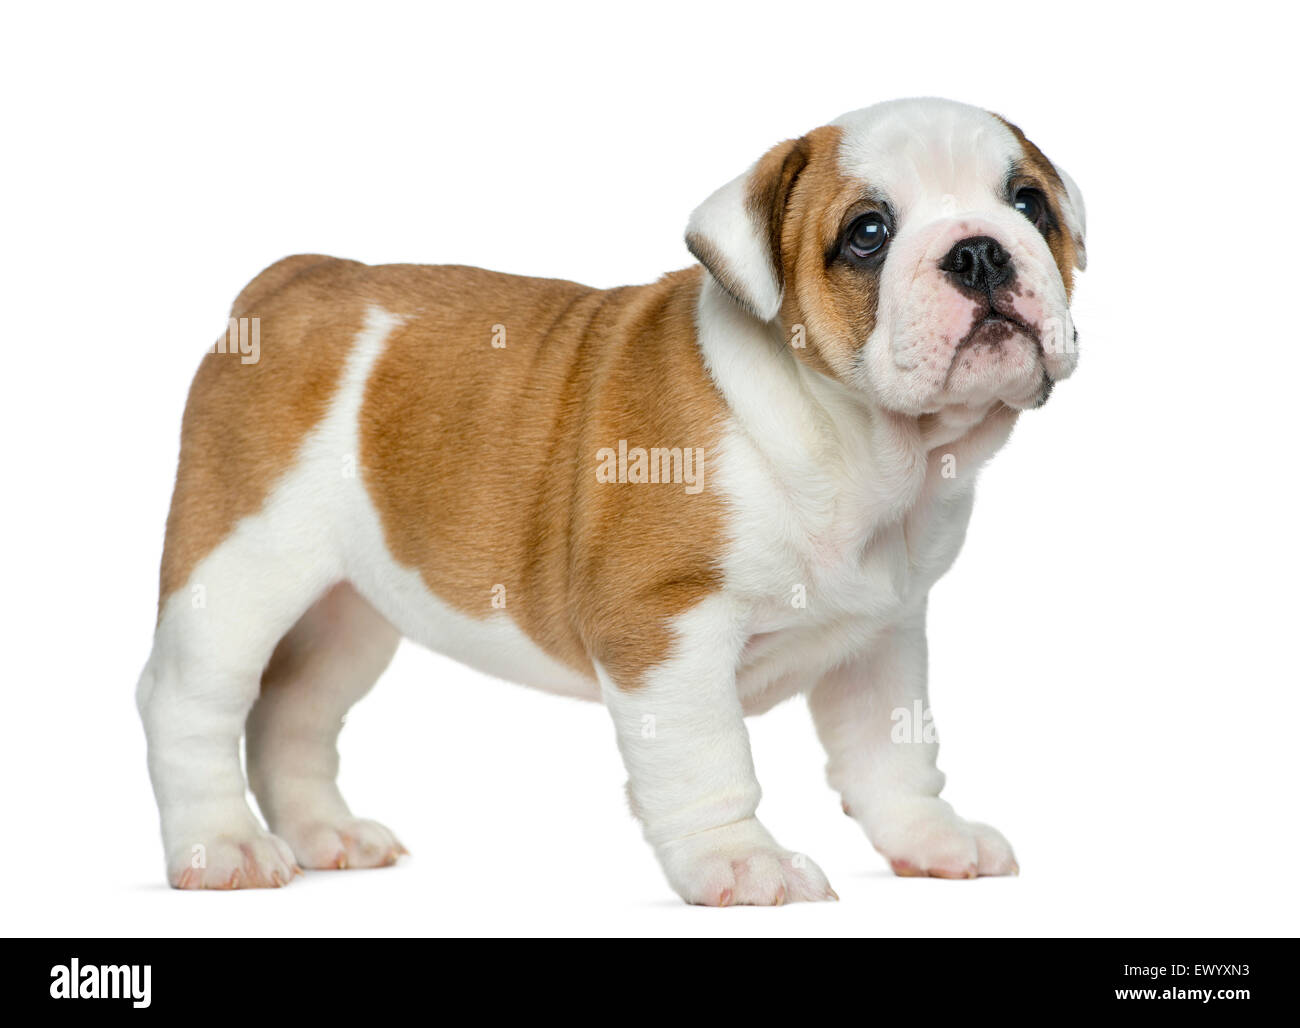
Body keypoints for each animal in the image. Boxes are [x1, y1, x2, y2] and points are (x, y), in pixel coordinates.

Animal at [137, 96, 1081, 899]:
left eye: (1029, 203)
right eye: (868, 234)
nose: (978, 249)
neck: (866, 446)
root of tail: (298, 279)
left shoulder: (880, 634)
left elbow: (891, 749)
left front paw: (931, 839)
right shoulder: (665, 624)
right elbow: (710, 761)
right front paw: (743, 864)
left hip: (348, 612)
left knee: (293, 712)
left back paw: (326, 835)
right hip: (240, 572)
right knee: (191, 703)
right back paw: (221, 847)